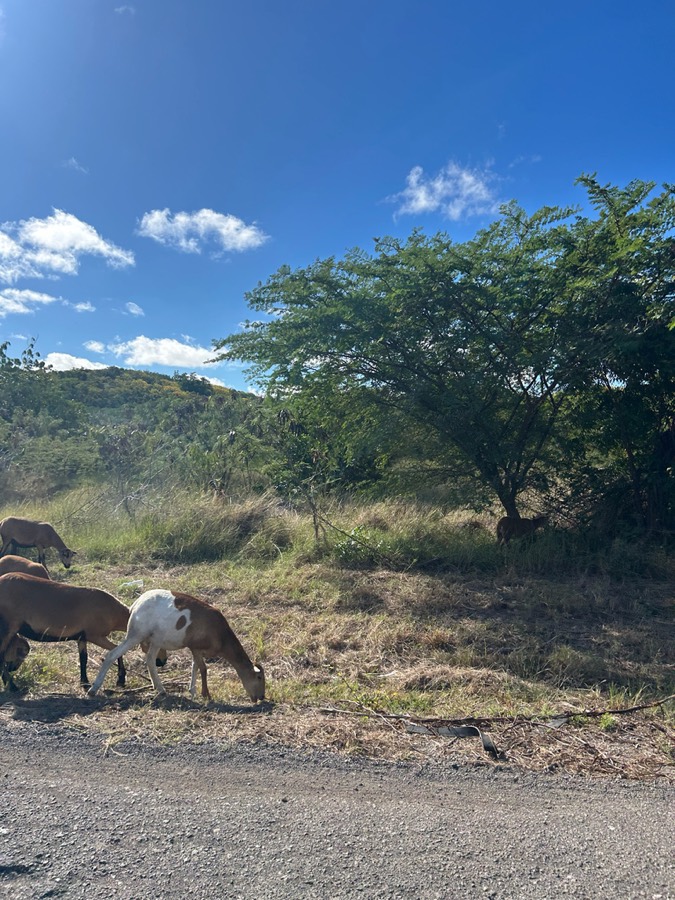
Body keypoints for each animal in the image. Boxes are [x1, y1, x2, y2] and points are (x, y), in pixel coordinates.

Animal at [0, 572, 131, 692]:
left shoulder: (82, 637)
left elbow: (83, 658)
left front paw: (85, 682)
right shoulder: (94, 635)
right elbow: (115, 649)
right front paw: (121, 680)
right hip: (8, 627)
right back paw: (12, 686)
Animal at [88, 589, 265, 703]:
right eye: (259, 677)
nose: (261, 697)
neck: (219, 632)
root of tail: (136, 605)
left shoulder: (196, 650)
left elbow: (195, 667)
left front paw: (193, 691)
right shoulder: (195, 647)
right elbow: (203, 669)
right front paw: (206, 695)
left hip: (155, 641)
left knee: (150, 660)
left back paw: (160, 689)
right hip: (136, 635)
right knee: (113, 654)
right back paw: (93, 689)